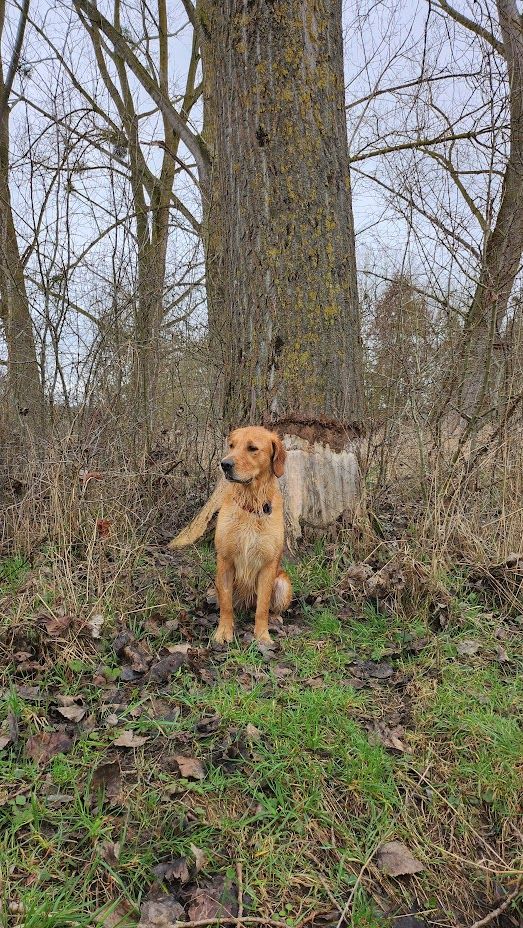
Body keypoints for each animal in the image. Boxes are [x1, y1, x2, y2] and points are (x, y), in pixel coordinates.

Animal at [169, 424, 292, 640]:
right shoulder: (225, 562)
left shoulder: (268, 566)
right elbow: (226, 605)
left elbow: (262, 607)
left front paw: (262, 636)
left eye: (252, 448)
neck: (251, 505)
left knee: (269, 608)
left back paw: (275, 619)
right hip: (214, 587)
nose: (224, 464)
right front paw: (224, 632)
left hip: (283, 584)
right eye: (232, 446)